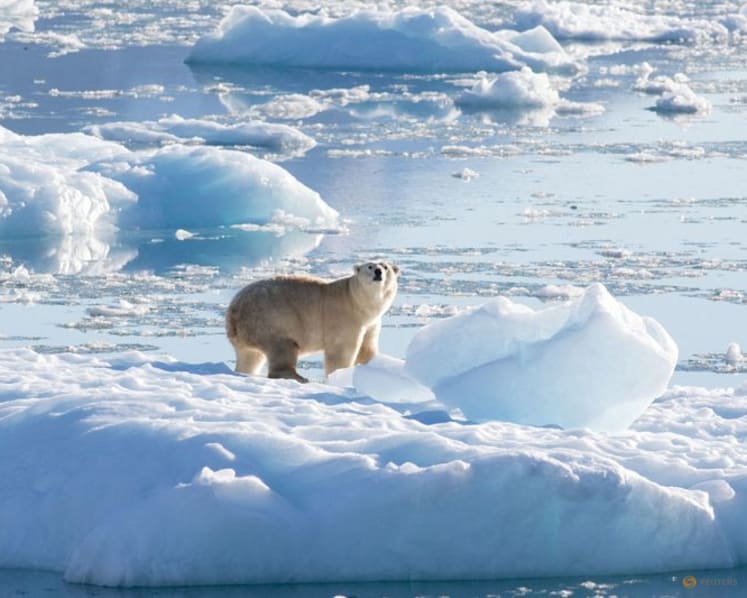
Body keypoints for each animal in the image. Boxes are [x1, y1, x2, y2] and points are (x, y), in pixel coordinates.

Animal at [226, 261, 400, 382]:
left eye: (385, 266)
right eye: (369, 266)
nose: (378, 271)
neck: (357, 301)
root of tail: (233, 311)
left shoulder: (371, 323)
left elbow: (367, 349)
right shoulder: (344, 317)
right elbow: (341, 350)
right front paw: (339, 376)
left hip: (248, 331)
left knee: (250, 356)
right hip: (271, 319)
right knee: (283, 347)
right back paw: (299, 377)